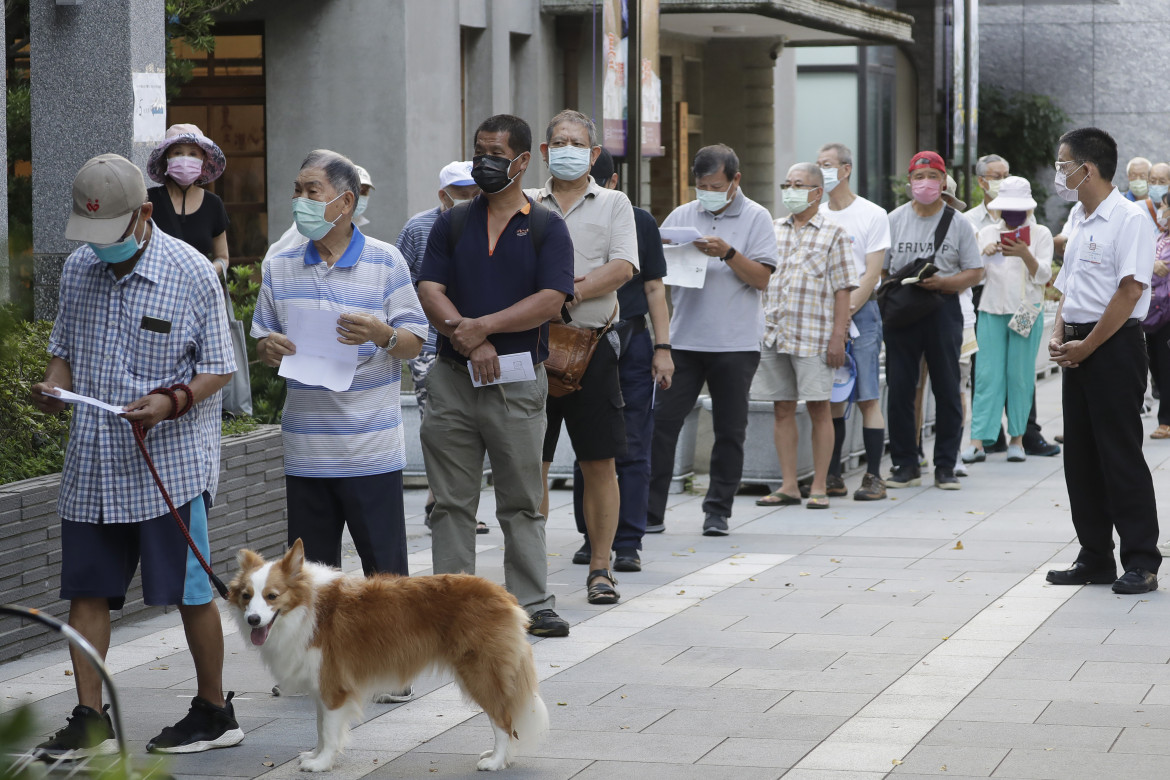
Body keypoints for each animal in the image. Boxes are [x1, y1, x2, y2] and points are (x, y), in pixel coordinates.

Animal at [228, 540, 547, 771]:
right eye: (246, 596)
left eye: (272, 596)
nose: (253, 620)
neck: (307, 608)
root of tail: (504, 595)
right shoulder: (321, 685)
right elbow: (320, 727)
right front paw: (315, 756)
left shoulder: (333, 685)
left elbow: (329, 730)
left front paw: (321, 764)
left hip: (480, 672)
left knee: (503, 720)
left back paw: (495, 762)